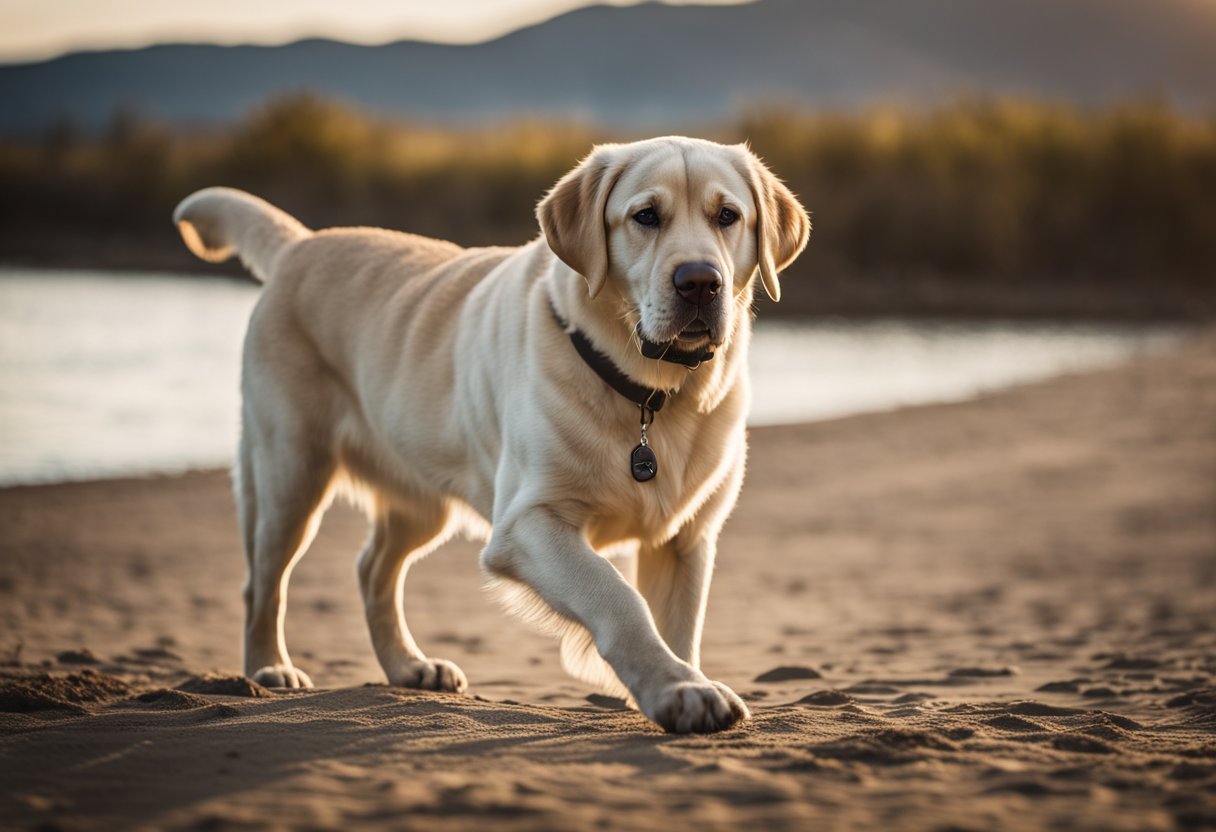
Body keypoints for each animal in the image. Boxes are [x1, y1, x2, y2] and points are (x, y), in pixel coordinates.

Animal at [173, 138, 807, 734]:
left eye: (728, 216)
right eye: (646, 216)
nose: (700, 282)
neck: (648, 394)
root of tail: (299, 245)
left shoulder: (686, 537)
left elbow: (679, 626)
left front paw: (683, 682)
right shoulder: (527, 523)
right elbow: (618, 598)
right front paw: (678, 691)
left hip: (420, 500)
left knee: (373, 569)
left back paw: (409, 665)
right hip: (290, 471)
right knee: (264, 581)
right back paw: (269, 668)